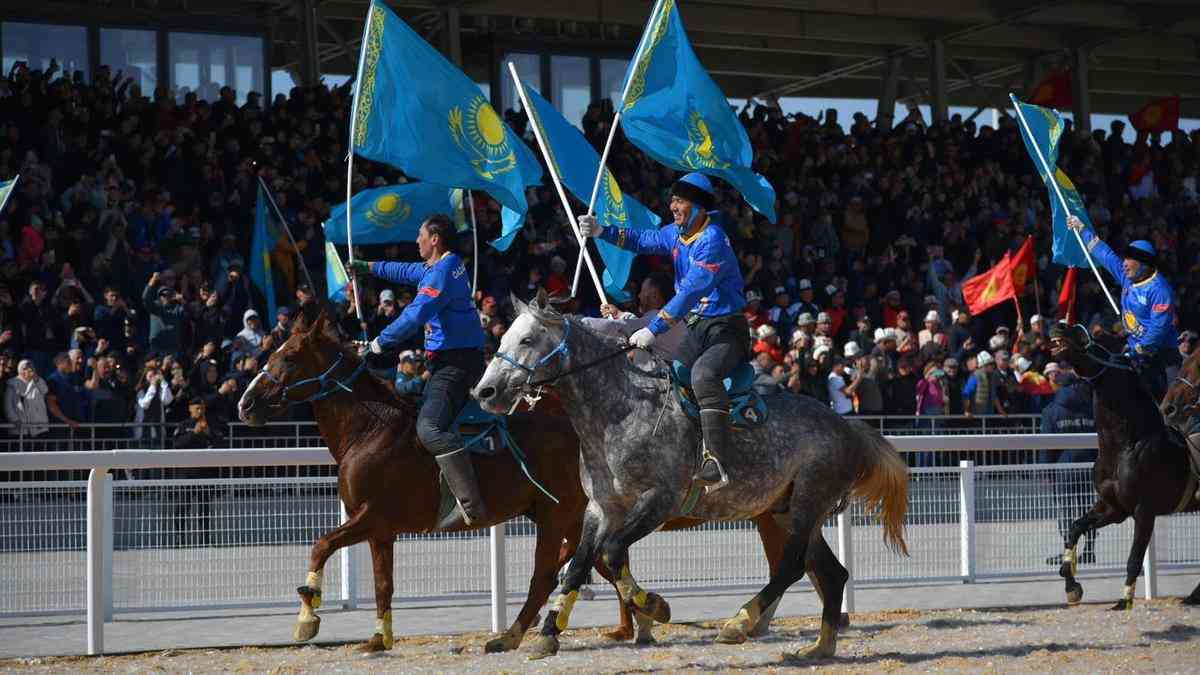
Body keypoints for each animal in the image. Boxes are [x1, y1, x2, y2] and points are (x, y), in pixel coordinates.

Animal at [238, 312, 792, 653]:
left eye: (287, 356)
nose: (246, 402)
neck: (372, 428)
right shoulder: (380, 529)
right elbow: (382, 583)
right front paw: (379, 637)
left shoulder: (373, 517)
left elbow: (319, 545)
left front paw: (307, 618)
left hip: (558, 516)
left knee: (549, 574)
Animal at [472, 290, 902, 658]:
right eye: (504, 336)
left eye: (527, 339)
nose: (485, 392)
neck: (622, 410)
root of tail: (848, 427)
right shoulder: (600, 508)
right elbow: (577, 566)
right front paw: (548, 634)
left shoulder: (659, 502)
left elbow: (612, 552)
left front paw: (655, 606)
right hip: (788, 510)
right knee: (831, 574)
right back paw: (818, 648)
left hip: (807, 505)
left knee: (792, 567)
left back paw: (739, 623)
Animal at [1046, 324, 1195, 607]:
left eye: (1098, 337)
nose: (1058, 325)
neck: (1127, 444)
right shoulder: (1114, 507)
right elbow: (1075, 527)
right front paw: (1071, 584)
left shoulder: (1144, 509)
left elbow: (1134, 558)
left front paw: (1123, 601)